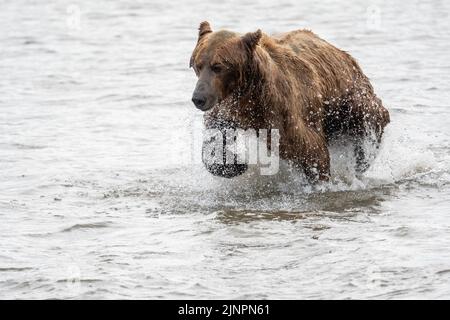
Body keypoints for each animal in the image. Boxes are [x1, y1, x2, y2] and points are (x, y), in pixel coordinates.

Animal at [190, 21, 390, 182]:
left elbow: (310, 149)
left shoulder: (282, 111)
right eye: (197, 65)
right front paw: (235, 163)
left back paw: (360, 159)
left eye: (218, 67)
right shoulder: (229, 110)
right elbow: (215, 138)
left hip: (352, 99)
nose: (199, 99)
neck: (249, 94)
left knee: (370, 125)